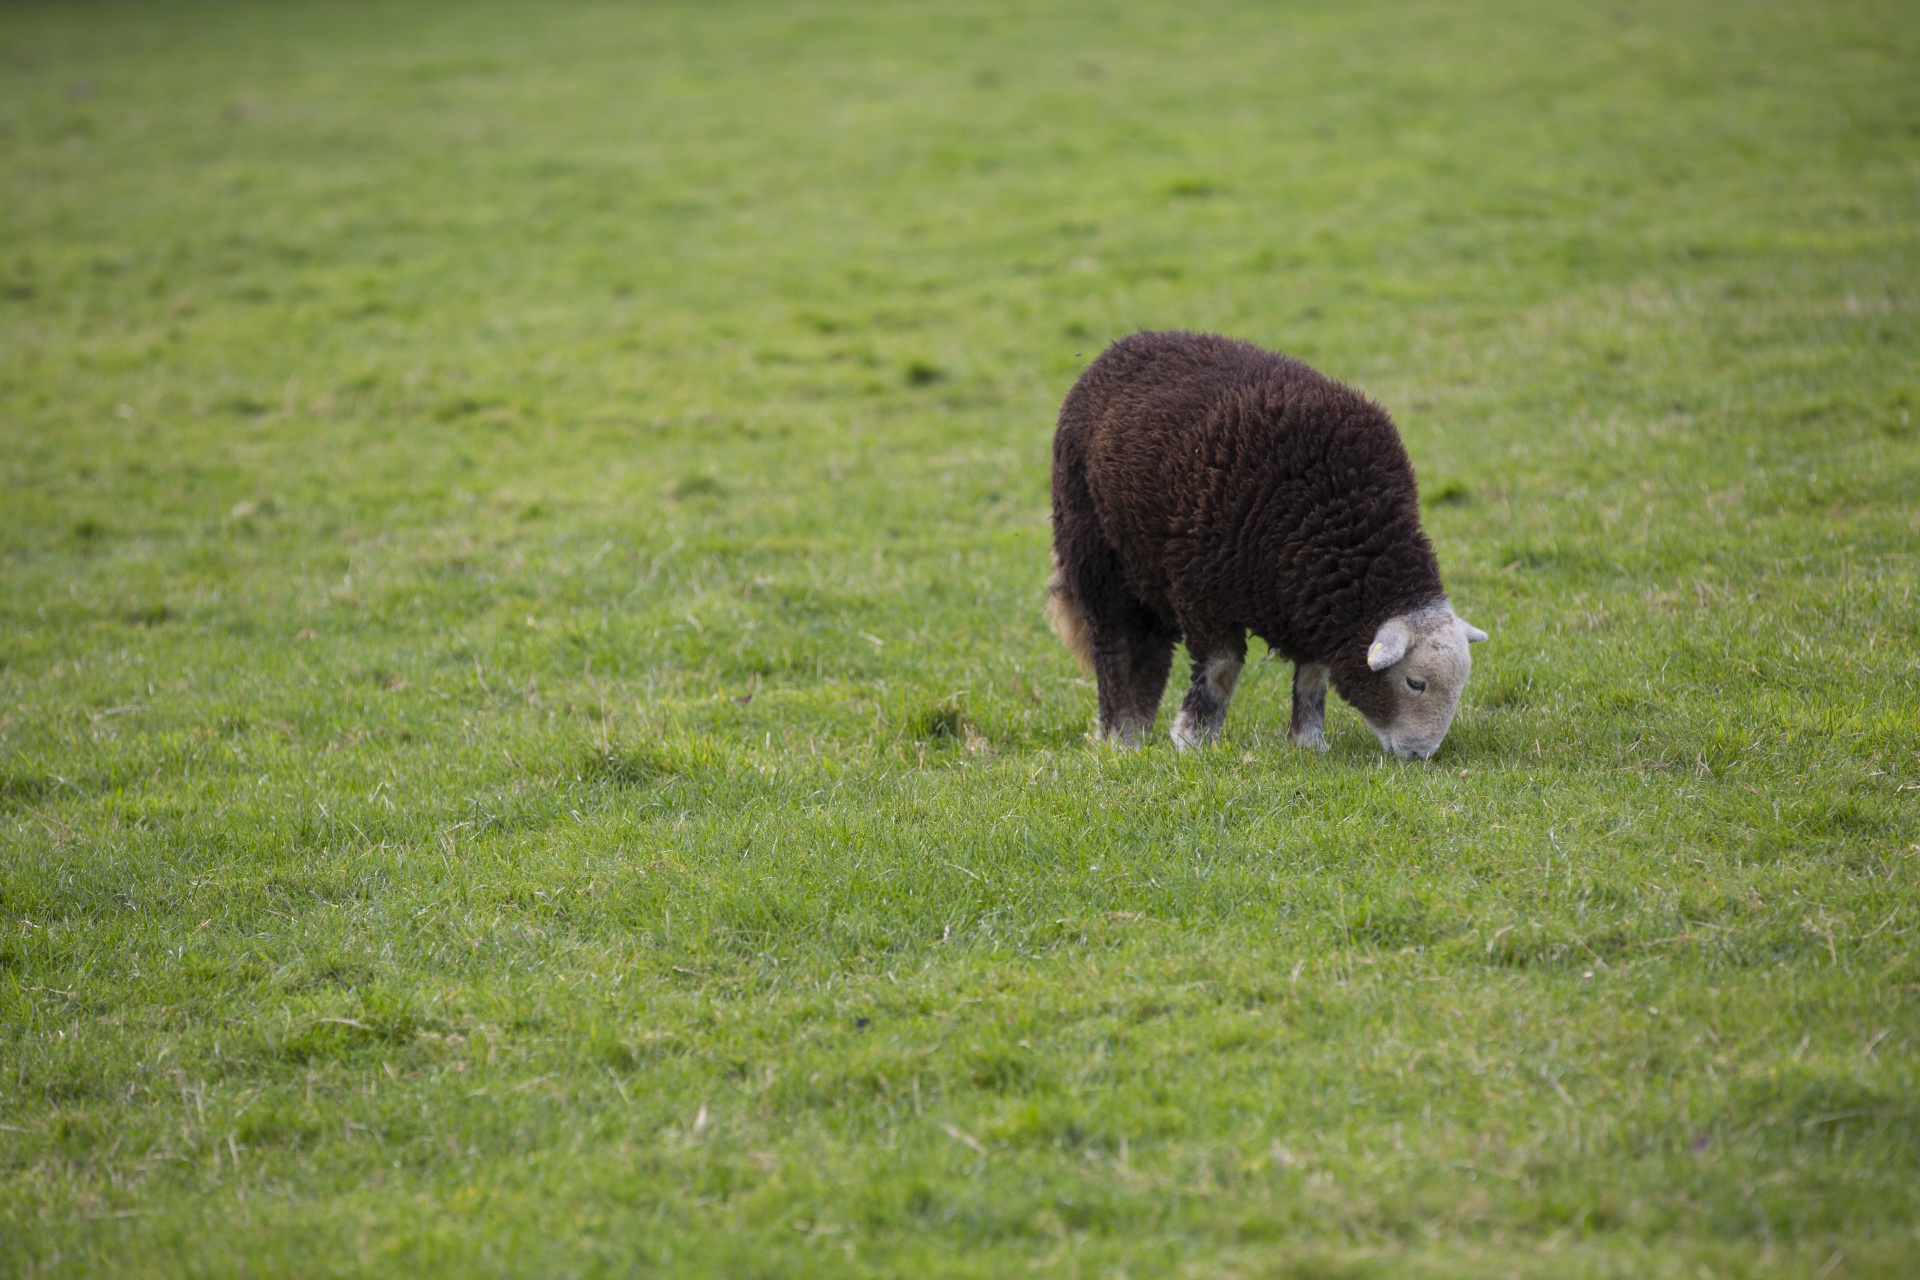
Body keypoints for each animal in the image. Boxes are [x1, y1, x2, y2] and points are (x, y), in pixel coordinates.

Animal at [1052, 328, 1482, 759]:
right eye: (1415, 683)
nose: (1419, 756)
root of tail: (1130, 342)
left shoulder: (1309, 605)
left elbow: (1312, 674)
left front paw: (1308, 742)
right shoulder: (1202, 590)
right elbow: (1221, 670)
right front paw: (1193, 740)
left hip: (1147, 569)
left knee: (1149, 650)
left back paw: (1136, 734)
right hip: (1093, 550)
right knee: (1113, 644)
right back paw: (1118, 735)